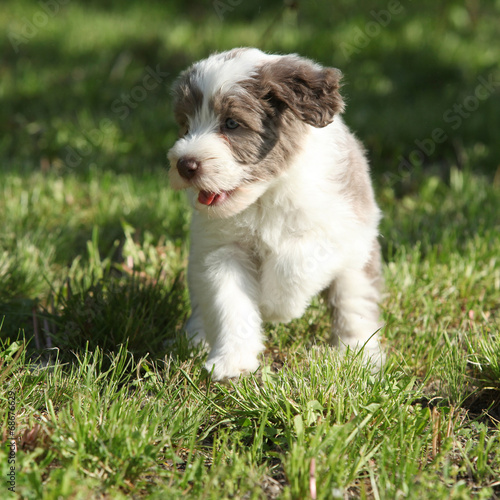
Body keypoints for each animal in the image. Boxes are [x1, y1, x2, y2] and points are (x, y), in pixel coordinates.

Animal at [168, 48, 382, 380]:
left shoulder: (337, 232)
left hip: (357, 264)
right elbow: (230, 304)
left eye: (231, 124)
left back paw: (359, 357)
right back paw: (195, 340)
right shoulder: (222, 252)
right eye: (186, 125)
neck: (264, 196)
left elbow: (293, 262)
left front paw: (277, 306)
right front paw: (232, 362)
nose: (185, 164)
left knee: (354, 307)